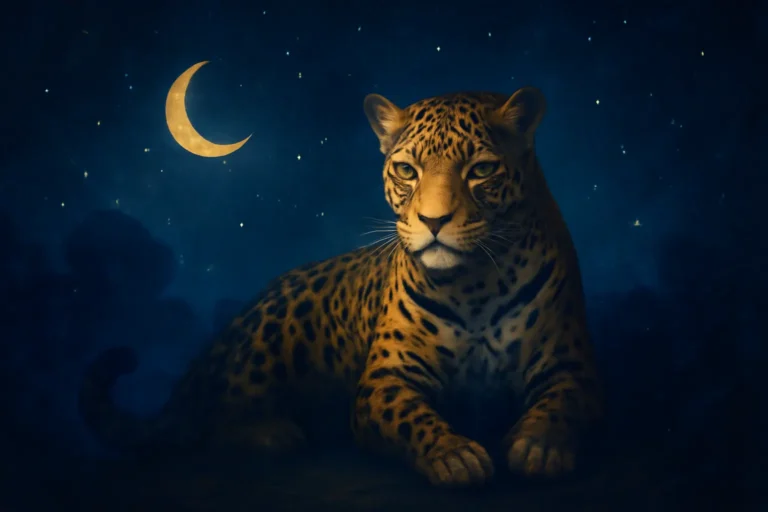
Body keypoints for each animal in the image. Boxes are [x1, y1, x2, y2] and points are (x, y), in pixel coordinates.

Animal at [79, 86, 602, 487]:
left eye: (481, 170)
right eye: (407, 170)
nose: (433, 222)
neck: (476, 285)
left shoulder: (570, 366)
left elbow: (562, 405)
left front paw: (540, 447)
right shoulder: (385, 379)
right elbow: (414, 419)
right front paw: (454, 454)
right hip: (272, 330)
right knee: (210, 424)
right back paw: (275, 433)